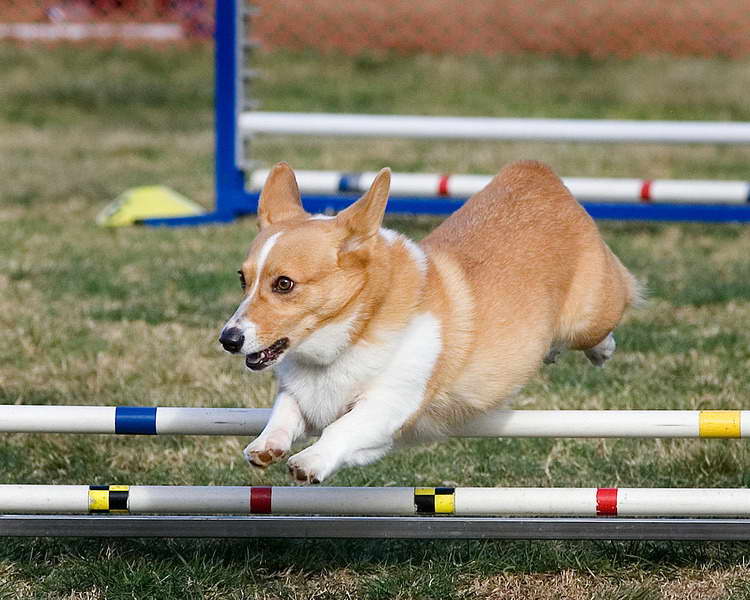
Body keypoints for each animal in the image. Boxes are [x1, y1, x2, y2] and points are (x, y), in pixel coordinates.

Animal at [219, 159, 640, 482]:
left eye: (284, 284)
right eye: (242, 279)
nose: (228, 339)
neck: (347, 339)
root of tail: (539, 174)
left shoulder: (391, 403)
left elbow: (344, 427)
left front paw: (310, 461)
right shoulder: (302, 394)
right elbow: (284, 413)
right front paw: (264, 446)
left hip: (589, 315)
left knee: (613, 308)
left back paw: (602, 348)